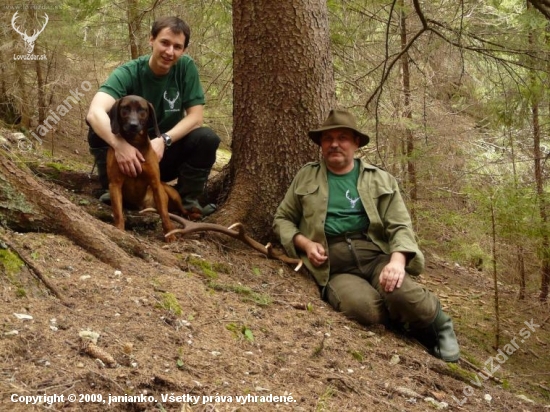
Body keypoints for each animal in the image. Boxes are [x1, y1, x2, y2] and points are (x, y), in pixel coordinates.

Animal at [108, 95, 188, 241]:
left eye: (142, 110)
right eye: (125, 108)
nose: (133, 125)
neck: (135, 143)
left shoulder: (155, 184)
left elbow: (164, 214)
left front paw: (169, 234)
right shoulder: (115, 184)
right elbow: (117, 211)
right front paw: (119, 229)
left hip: (172, 193)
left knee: (181, 210)